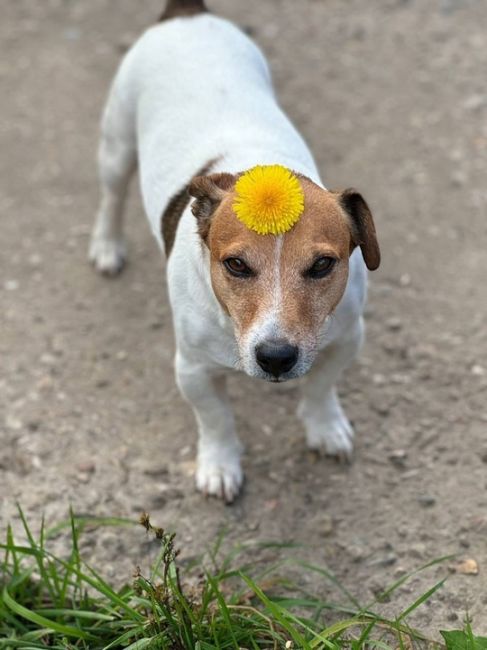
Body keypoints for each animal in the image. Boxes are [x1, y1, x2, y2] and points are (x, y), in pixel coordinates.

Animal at [89, 0, 384, 502]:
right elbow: (216, 419)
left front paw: (325, 427)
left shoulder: (347, 338)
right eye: (236, 265)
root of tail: (186, 14)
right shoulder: (193, 369)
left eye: (323, 265)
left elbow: (321, 387)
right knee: (112, 194)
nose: (277, 357)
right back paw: (107, 246)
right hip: (117, 144)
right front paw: (220, 465)